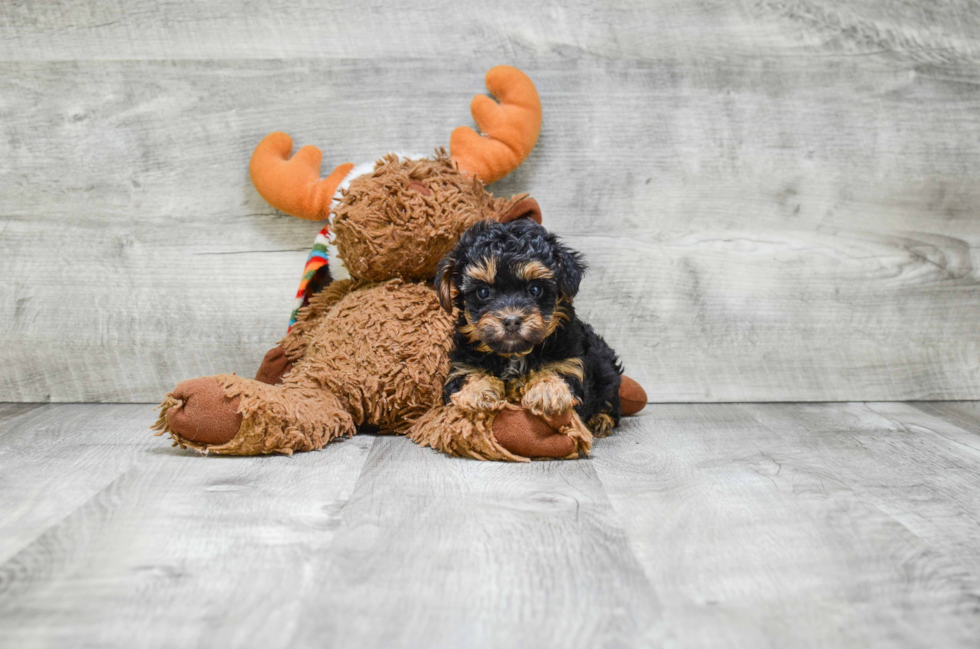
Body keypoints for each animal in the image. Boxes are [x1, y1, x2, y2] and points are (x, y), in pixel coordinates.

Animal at [436, 218, 620, 436]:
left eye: (535, 289)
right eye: (483, 292)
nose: (512, 320)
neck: (514, 354)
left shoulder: (571, 362)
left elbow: (558, 371)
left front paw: (547, 390)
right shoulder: (461, 364)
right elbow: (466, 376)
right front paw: (477, 392)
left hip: (606, 368)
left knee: (610, 399)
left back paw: (601, 419)